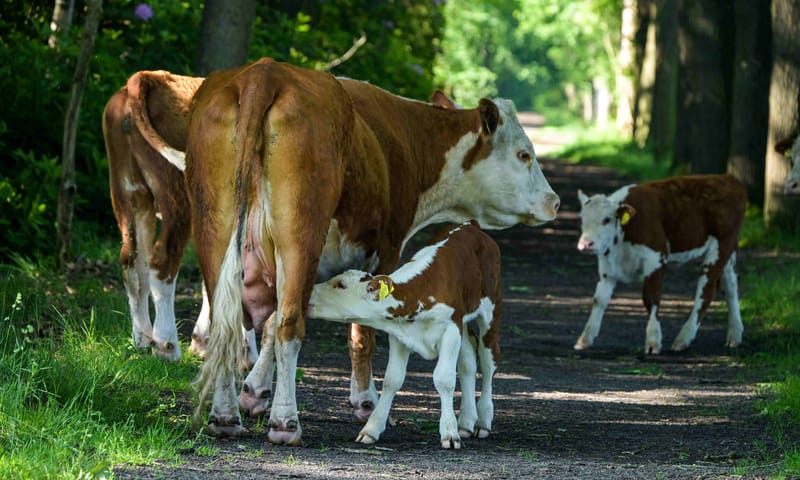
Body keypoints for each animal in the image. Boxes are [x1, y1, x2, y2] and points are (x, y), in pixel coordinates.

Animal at [103, 70, 259, 365]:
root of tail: (149, 77)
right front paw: (247, 353)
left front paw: (203, 342)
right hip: (178, 197)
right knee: (161, 261)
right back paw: (167, 346)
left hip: (128, 194)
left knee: (132, 261)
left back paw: (143, 339)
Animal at [307, 220, 501, 449]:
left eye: (341, 285)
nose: (308, 292)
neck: (417, 293)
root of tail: (470, 225)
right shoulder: (400, 335)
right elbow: (392, 379)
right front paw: (372, 429)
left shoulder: (451, 329)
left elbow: (444, 378)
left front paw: (449, 433)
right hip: (464, 321)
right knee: (468, 363)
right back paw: (466, 422)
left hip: (490, 309)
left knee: (488, 363)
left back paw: (483, 422)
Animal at [574, 174, 746, 354]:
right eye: (581, 218)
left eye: (606, 219)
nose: (585, 244)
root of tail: (728, 178)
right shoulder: (607, 264)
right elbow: (599, 300)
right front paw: (585, 339)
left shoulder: (656, 257)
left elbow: (651, 298)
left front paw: (653, 341)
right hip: (729, 250)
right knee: (731, 285)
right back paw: (735, 335)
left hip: (720, 247)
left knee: (705, 292)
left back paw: (683, 339)